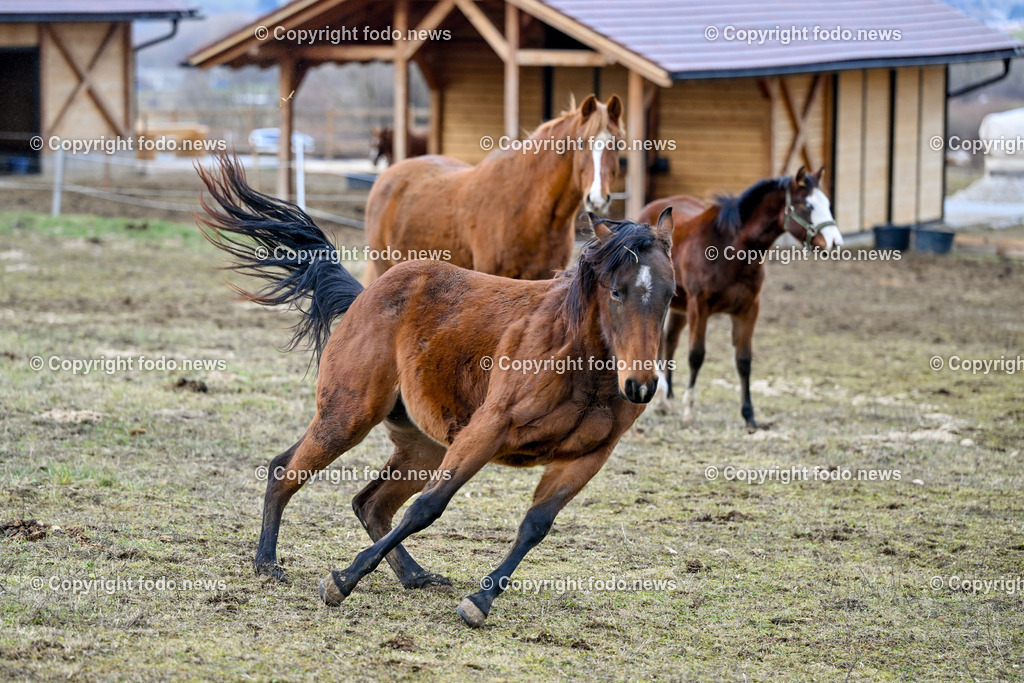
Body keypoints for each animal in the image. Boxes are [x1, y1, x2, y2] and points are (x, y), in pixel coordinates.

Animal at [196, 155, 675, 628]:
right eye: (617, 292)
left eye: (670, 295)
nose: (641, 385)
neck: (578, 359)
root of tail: (365, 294)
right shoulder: (487, 431)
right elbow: (427, 508)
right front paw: (342, 580)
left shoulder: (586, 458)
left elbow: (535, 525)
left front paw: (480, 599)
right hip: (347, 417)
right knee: (287, 472)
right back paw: (267, 563)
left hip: (422, 446)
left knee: (370, 504)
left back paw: (415, 575)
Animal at [636, 166, 842, 431]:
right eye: (808, 205)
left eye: (827, 202)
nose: (836, 243)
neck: (731, 248)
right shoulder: (699, 307)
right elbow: (696, 356)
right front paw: (689, 411)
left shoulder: (748, 310)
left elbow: (744, 361)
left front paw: (749, 416)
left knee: (669, 342)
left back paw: (666, 400)